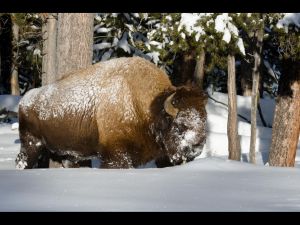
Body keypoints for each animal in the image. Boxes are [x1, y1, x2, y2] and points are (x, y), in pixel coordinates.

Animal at [14, 56, 206, 169]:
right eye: (180, 125)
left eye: (204, 123)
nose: (197, 148)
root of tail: (25, 100)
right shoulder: (116, 153)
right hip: (31, 142)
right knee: (23, 160)